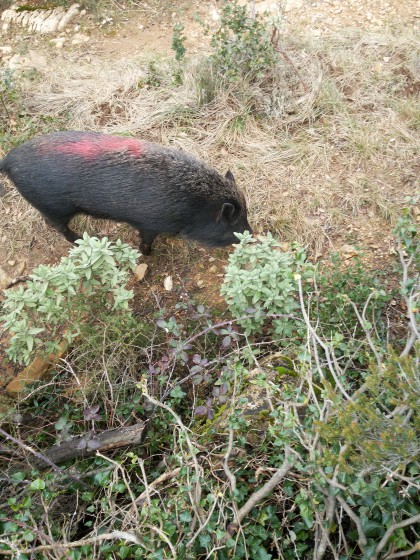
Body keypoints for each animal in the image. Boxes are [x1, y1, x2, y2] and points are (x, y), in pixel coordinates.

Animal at [0, 131, 251, 254]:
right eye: (233, 222)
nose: (252, 234)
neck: (194, 206)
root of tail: (8, 161)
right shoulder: (149, 224)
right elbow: (146, 241)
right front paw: (148, 255)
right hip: (54, 207)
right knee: (56, 225)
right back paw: (80, 239)